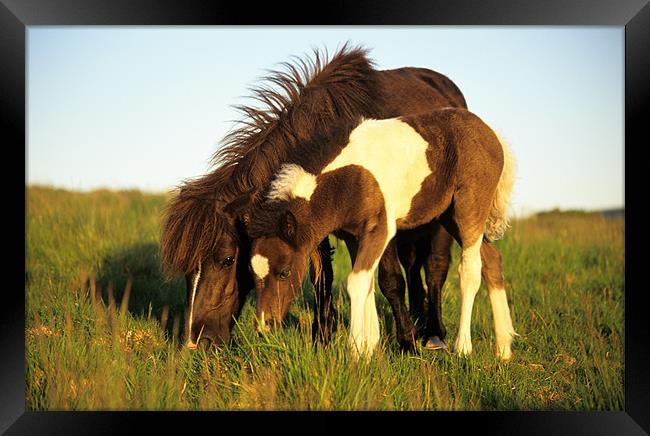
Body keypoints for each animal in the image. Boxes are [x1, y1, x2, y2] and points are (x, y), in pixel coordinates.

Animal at [159, 44, 470, 350]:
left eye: (227, 259)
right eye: (186, 269)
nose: (197, 342)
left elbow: (390, 279)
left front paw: (407, 342)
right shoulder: (309, 224)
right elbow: (322, 277)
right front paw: (322, 338)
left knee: (435, 267)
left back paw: (433, 333)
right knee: (414, 264)